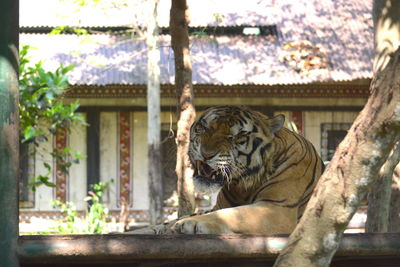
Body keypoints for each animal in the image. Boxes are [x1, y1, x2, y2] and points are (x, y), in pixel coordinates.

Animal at [131, 105, 324, 236]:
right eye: (204, 128)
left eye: (236, 137)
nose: (206, 154)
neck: (243, 186)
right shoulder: (219, 205)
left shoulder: (276, 208)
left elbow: (232, 214)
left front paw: (190, 223)